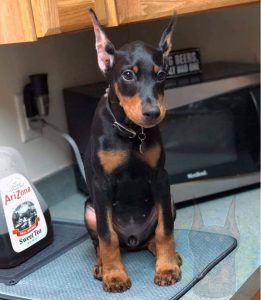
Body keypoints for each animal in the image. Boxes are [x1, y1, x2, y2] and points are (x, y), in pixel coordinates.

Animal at [84, 8, 181, 292]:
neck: (130, 132)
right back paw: (102, 266)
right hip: (90, 209)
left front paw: (166, 267)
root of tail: (133, 239)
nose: (152, 113)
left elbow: (165, 230)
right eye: (128, 75)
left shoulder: (160, 178)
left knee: (154, 235)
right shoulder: (102, 183)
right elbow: (107, 236)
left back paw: (168, 255)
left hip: (168, 200)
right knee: (101, 241)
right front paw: (115, 276)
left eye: (161, 75)